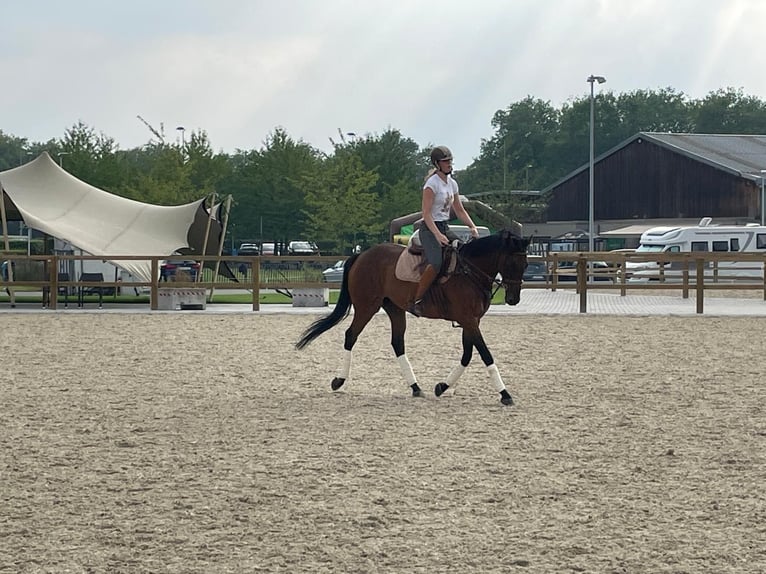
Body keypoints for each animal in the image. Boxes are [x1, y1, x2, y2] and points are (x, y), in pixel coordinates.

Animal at [296, 228, 532, 404]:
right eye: (511, 263)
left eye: (526, 264)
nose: (513, 299)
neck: (469, 271)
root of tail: (362, 254)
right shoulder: (468, 320)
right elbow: (485, 354)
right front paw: (505, 394)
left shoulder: (471, 320)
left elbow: (467, 355)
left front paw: (442, 386)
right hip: (366, 307)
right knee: (350, 336)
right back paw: (339, 380)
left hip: (394, 308)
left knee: (397, 343)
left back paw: (415, 387)